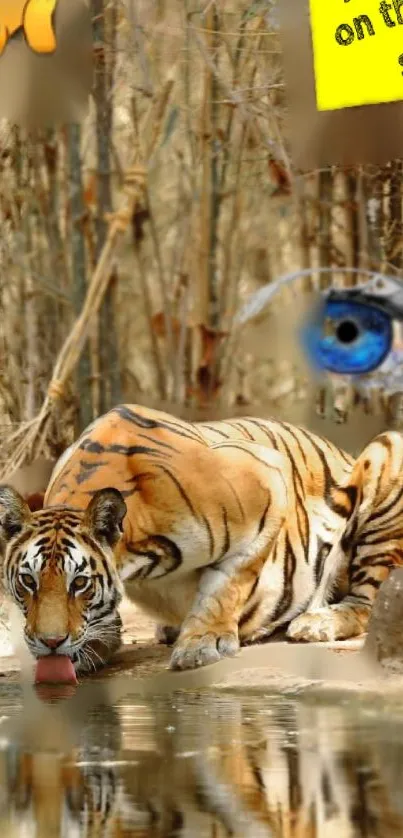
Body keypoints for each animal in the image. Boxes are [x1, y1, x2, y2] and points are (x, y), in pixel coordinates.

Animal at [0, 400, 402, 676]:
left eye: (80, 582)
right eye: (28, 581)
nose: (51, 644)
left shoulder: (268, 481)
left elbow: (227, 584)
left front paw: (202, 644)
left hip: (388, 453)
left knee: (366, 602)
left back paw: (318, 621)